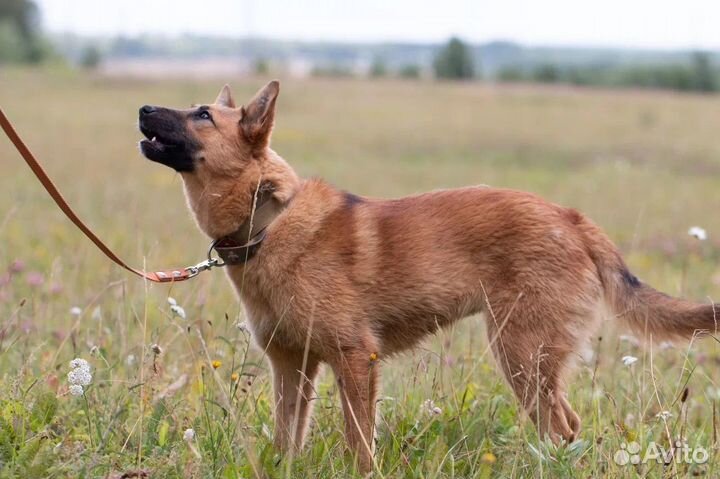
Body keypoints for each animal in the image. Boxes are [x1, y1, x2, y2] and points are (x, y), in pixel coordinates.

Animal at [138, 80, 716, 474]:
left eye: (203, 114)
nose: (142, 107)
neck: (269, 219)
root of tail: (571, 218)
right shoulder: (292, 368)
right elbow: (288, 440)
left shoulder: (355, 360)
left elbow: (360, 444)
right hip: (528, 361)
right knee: (565, 429)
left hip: (521, 355)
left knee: (562, 428)